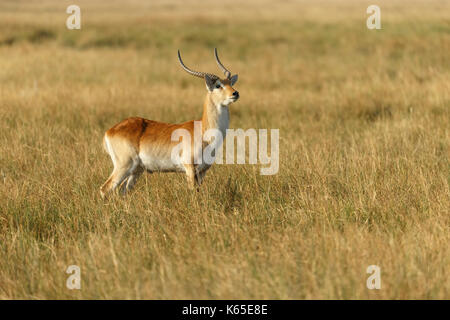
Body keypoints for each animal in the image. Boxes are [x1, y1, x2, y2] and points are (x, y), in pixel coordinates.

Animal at [99, 48, 239, 198]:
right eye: (218, 85)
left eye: (231, 83)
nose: (235, 93)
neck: (203, 131)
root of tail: (110, 131)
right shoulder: (190, 168)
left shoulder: (202, 171)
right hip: (123, 166)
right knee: (104, 188)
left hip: (136, 171)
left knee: (122, 191)